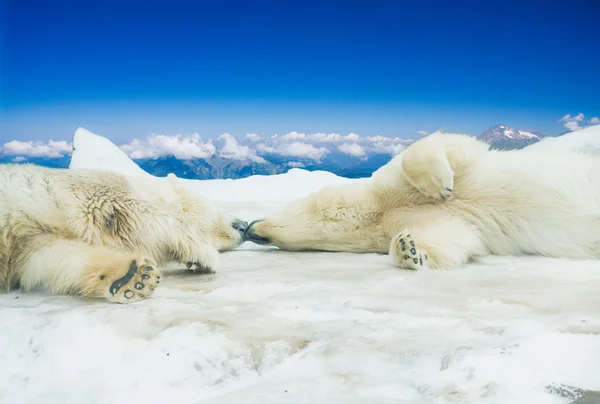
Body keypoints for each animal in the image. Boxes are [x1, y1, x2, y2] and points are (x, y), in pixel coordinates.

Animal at [0, 163, 247, 302]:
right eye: (216, 208)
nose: (244, 225)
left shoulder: (31, 240)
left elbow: (52, 256)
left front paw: (132, 278)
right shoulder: (96, 188)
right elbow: (141, 209)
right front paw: (203, 254)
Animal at [244, 133, 600, 270]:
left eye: (273, 240)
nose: (249, 229)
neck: (379, 209)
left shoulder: (392, 182)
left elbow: (446, 146)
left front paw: (440, 185)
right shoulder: (431, 220)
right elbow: (456, 237)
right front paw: (410, 250)